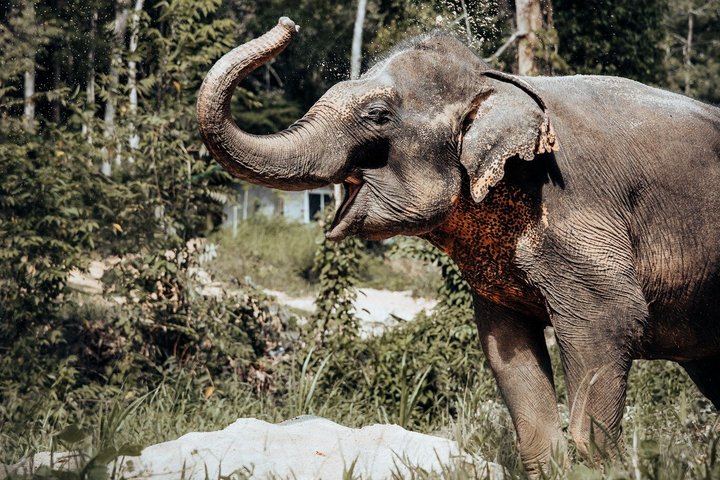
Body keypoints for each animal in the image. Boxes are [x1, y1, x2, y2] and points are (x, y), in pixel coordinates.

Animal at [197, 17, 720, 475]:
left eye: (377, 116)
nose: (288, 24)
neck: (497, 82)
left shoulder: (577, 208)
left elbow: (610, 319)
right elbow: (507, 345)